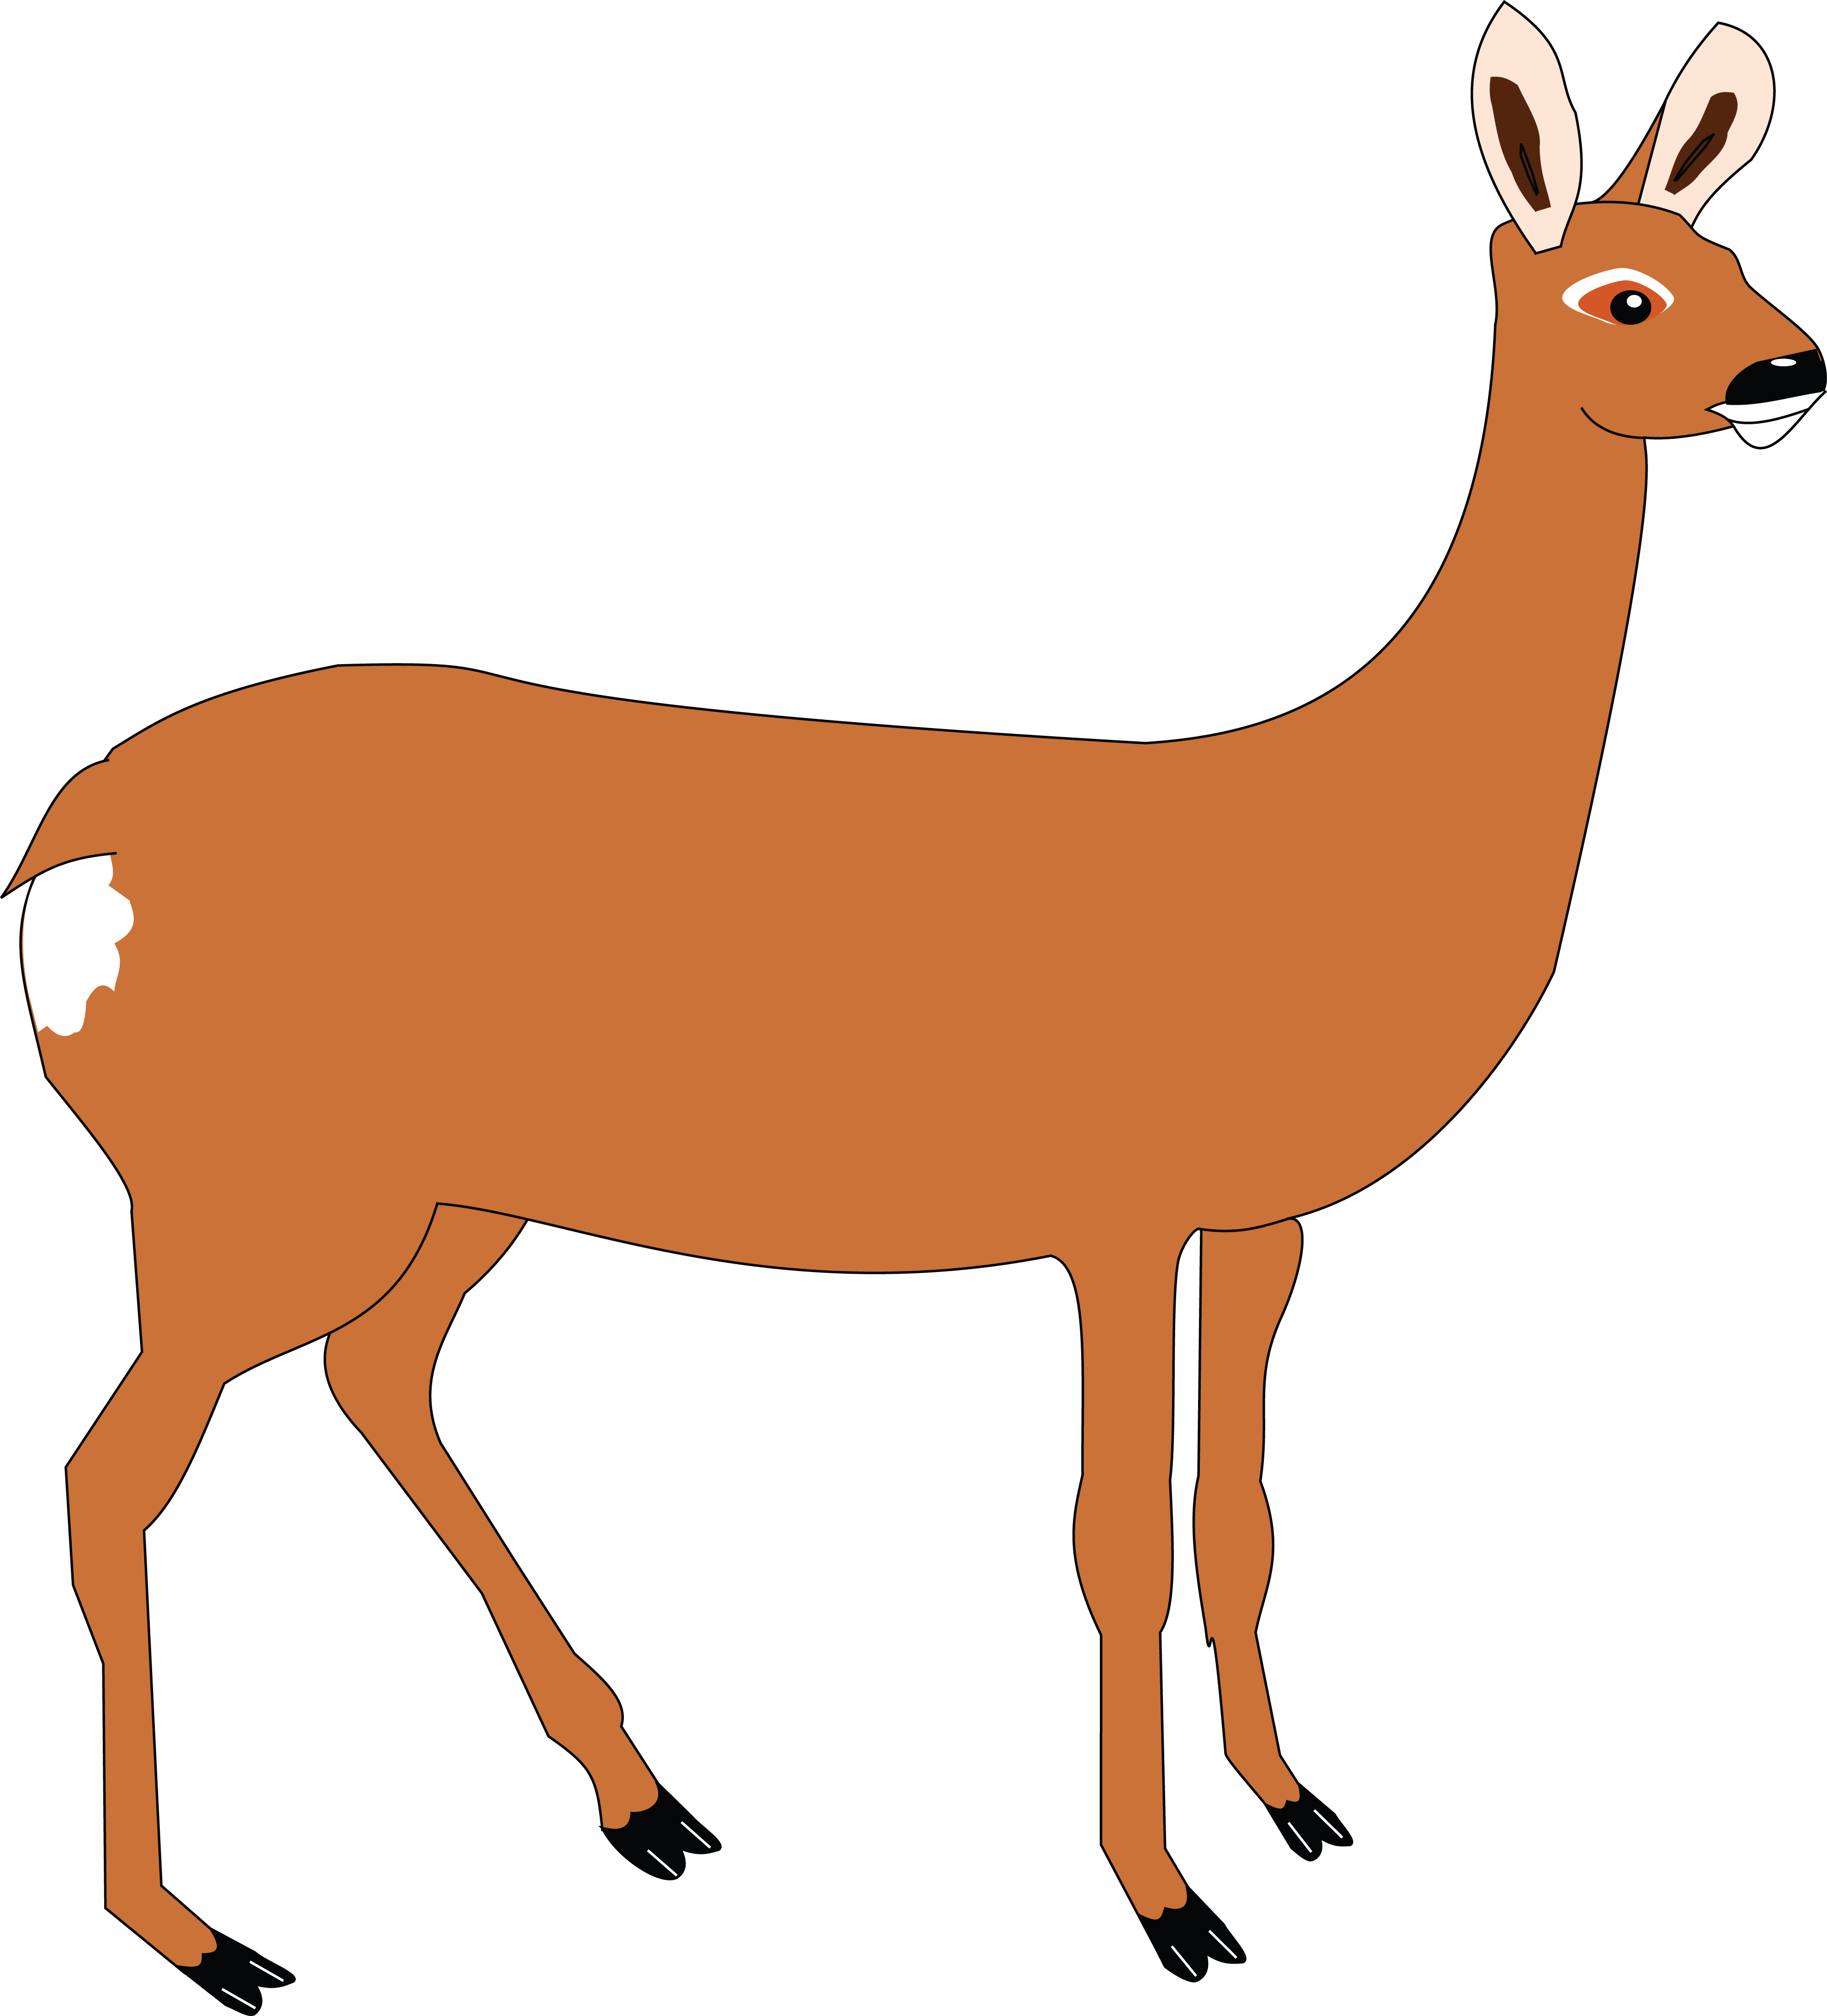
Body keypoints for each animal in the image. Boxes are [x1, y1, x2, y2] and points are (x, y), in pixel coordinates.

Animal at [6, 8, 1819, 2004]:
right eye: (1627, 294)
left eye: (1740, 256)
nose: (1793, 365)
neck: (1331, 829)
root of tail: (61, 847)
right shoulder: (1114, 1210)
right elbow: (1116, 1539)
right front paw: (1169, 1903)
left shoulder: (1261, 1216)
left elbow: (1242, 1511)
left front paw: (1294, 1802)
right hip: (246, 1188)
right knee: (112, 1475)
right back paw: (204, 1931)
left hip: (443, 1192)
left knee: (375, 1378)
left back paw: (648, 1801)